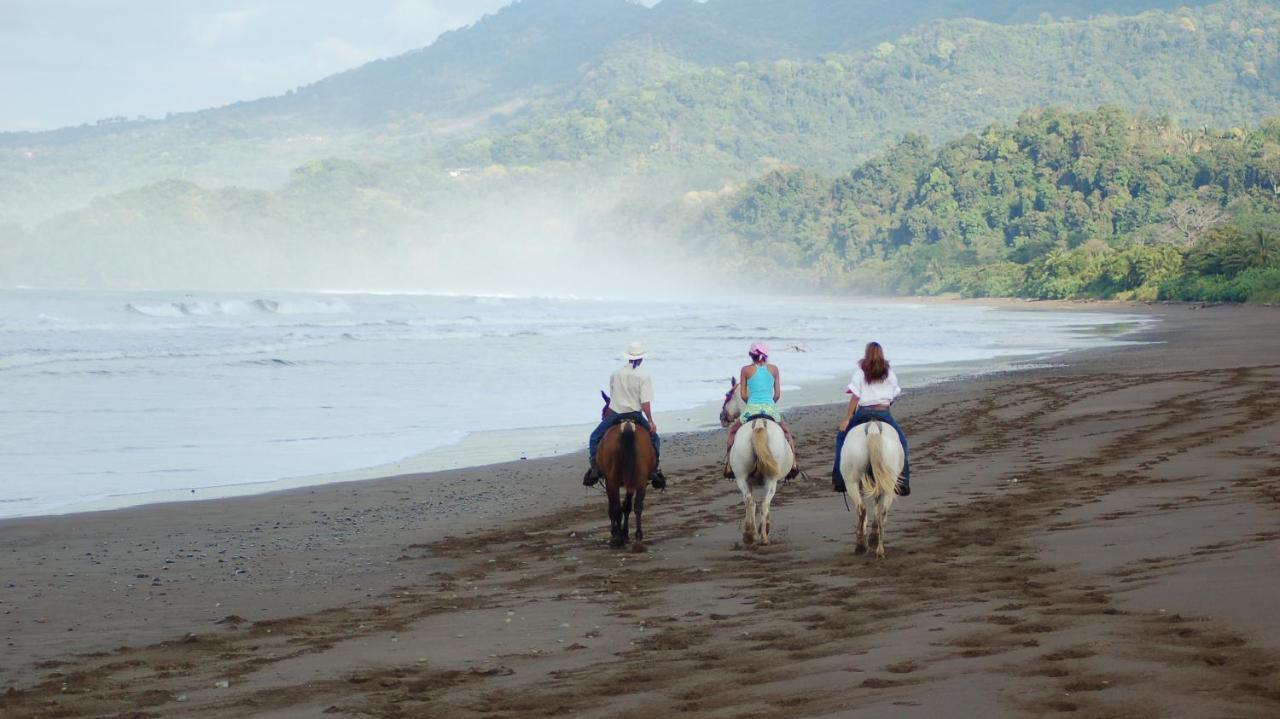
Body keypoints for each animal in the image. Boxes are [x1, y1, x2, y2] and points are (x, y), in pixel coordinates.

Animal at [596, 391, 660, 547]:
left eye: (603, 411)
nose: (602, 417)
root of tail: (627, 426)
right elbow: (627, 506)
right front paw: (625, 534)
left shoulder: (609, 481)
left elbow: (613, 508)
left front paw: (617, 533)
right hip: (640, 479)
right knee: (637, 506)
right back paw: (638, 537)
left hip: (612, 480)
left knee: (616, 508)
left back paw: (617, 539)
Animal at [716, 378, 793, 539]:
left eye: (727, 396)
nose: (721, 417)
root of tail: (758, 424)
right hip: (768, 479)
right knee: (762, 503)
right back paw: (759, 533)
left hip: (744, 478)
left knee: (751, 501)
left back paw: (753, 533)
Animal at [844, 422, 906, 557]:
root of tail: (873, 429)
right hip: (888, 484)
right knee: (881, 511)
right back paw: (878, 548)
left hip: (851, 482)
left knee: (863, 509)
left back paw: (862, 545)